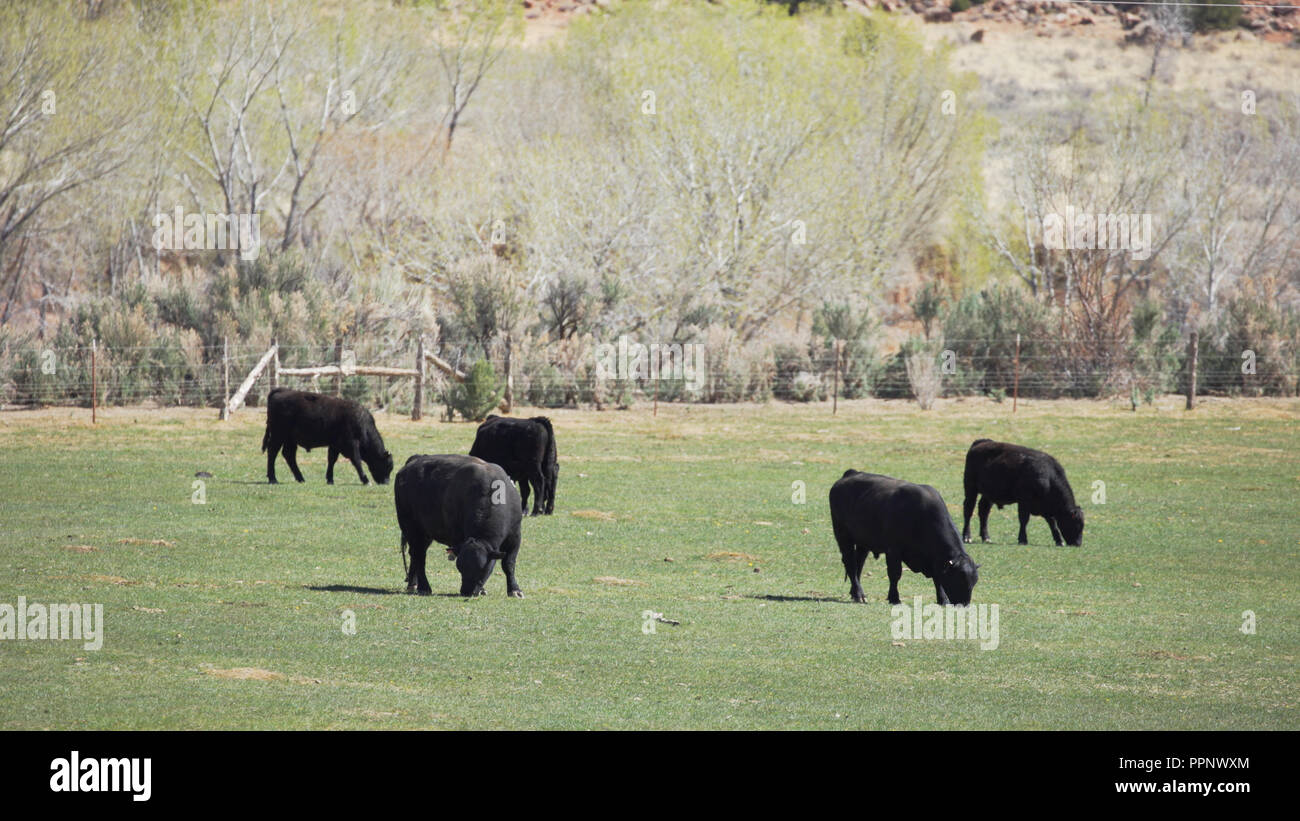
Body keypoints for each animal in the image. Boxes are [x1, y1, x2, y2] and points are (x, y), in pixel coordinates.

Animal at [261, 387, 394, 486]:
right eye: (387, 466)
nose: (386, 482)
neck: (361, 422)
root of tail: (281, 391)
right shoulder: (351, 444)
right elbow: (357, 461)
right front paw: (365, 480)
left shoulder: (335, 445)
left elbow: (332, 460)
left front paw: (330, 479)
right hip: (278, 436)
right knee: (272, 452)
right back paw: (273, 479)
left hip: (289, 440)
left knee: (289, 455)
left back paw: (301, 478)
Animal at [394, 454, 524, 598]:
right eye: (460, 567)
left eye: (482, 569)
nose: (466, 592)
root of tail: (415, 460)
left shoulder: (515, 537)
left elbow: (508, 564)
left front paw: (514, 590)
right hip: (411, 529)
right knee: (419, 556)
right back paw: (424, 587)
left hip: (425, 535)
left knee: (415, 555)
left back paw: (412, 584)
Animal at [829, 470, 979, 606]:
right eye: (958, 580)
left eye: (974, 582)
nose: (965, 604)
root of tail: (850, 474)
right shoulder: (893, 551)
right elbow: (895, 575)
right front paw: (894, 598)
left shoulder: (935, 561)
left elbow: (937, 579)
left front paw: (942, 599)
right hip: (843, 537)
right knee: (850, 563)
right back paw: (859, 594)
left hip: (863, 543)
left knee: (858, 564)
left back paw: (855, 593)